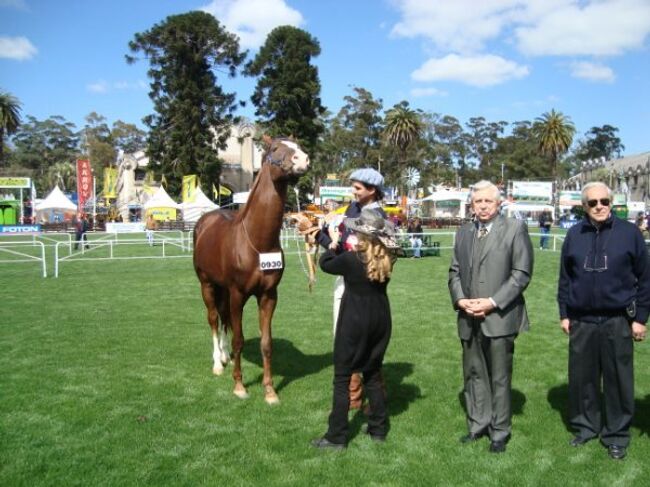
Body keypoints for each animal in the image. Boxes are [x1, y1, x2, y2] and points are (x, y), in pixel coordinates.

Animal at [192, 137, 308, 404]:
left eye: (296, 144)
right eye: (275, 148)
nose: (303, 159)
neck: (257, 242)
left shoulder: (268, 296)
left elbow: (266, 343)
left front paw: (270, 390)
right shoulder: (238, 295)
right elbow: (239, 339)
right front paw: (239, 386)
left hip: (222, 288)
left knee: (223, 319)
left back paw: (225, 357)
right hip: (207, 285)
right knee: (214, 319)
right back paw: (218, 363)